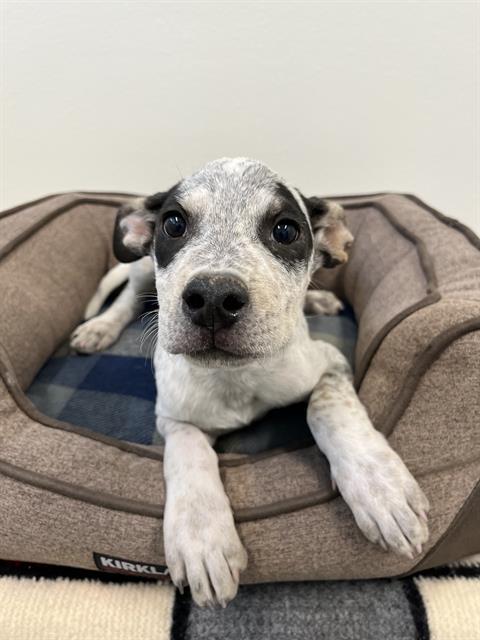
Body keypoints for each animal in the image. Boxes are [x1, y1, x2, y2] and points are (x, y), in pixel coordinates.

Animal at [72, 159, 432, 604]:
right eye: (173, 224)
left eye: (286, 231)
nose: (212, 299)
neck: (236, 377)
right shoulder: (174, 418)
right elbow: (190, 455)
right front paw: (202, 540)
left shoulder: (330, 364)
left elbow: (326, 409)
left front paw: (380, 487)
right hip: (138, 267)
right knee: (125, 298)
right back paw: (100, 328)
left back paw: (317, 299)